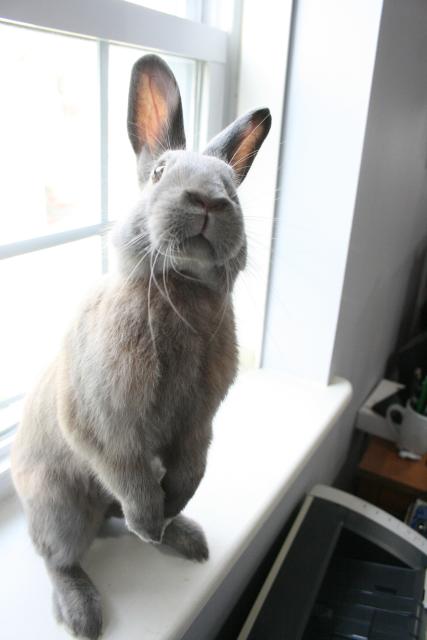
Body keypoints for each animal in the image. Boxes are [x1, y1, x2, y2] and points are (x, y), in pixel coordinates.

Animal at [11, 53, 271, 639]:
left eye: (233, 188)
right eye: (159, 173)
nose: (209, 201)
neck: (180, 291)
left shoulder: (198, 426)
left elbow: (191, 470)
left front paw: (170, 512)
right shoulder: (108, 429)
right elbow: (125, 472)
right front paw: (151, 521)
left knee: (120, 518)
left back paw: (185, 537)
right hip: (59, 509)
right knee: (61, 555)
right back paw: (84, 612)